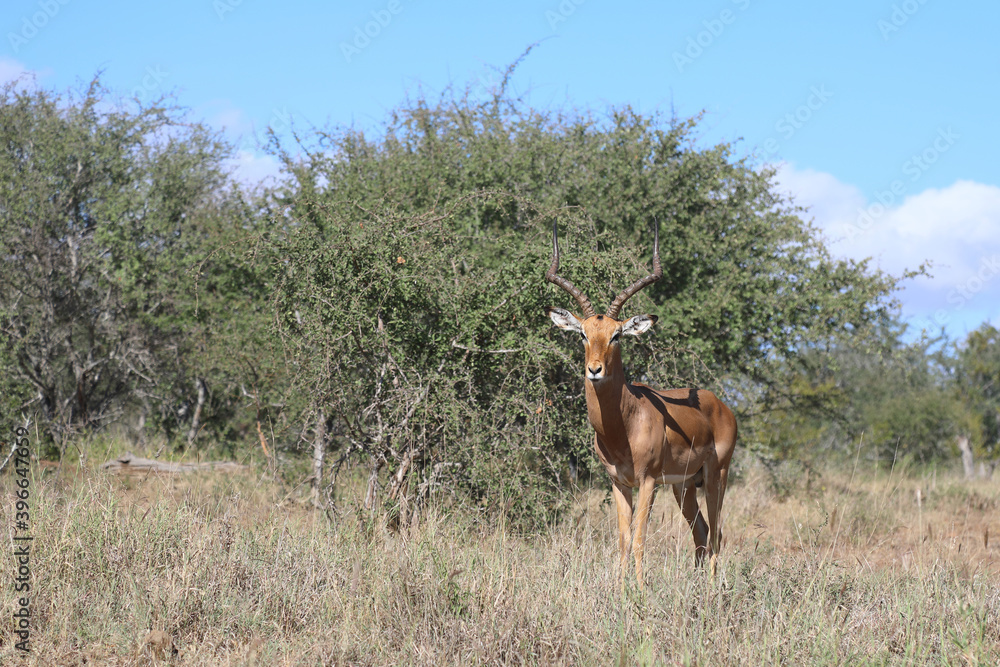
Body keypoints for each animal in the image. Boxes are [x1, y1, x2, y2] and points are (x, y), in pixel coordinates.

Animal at [543, 221, 737, 587]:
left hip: (716, 476)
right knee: (702, 531)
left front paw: (640, 592)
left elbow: (639, 540)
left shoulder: (647, 481)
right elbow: (621, 540)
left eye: (617, 335)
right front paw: (621, 591)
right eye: (583, 334)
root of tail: (722, 406)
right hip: (684, 487)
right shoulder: (620, 483)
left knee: (718, 534)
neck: (624, 425)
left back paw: (711, 590)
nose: (594, 369)